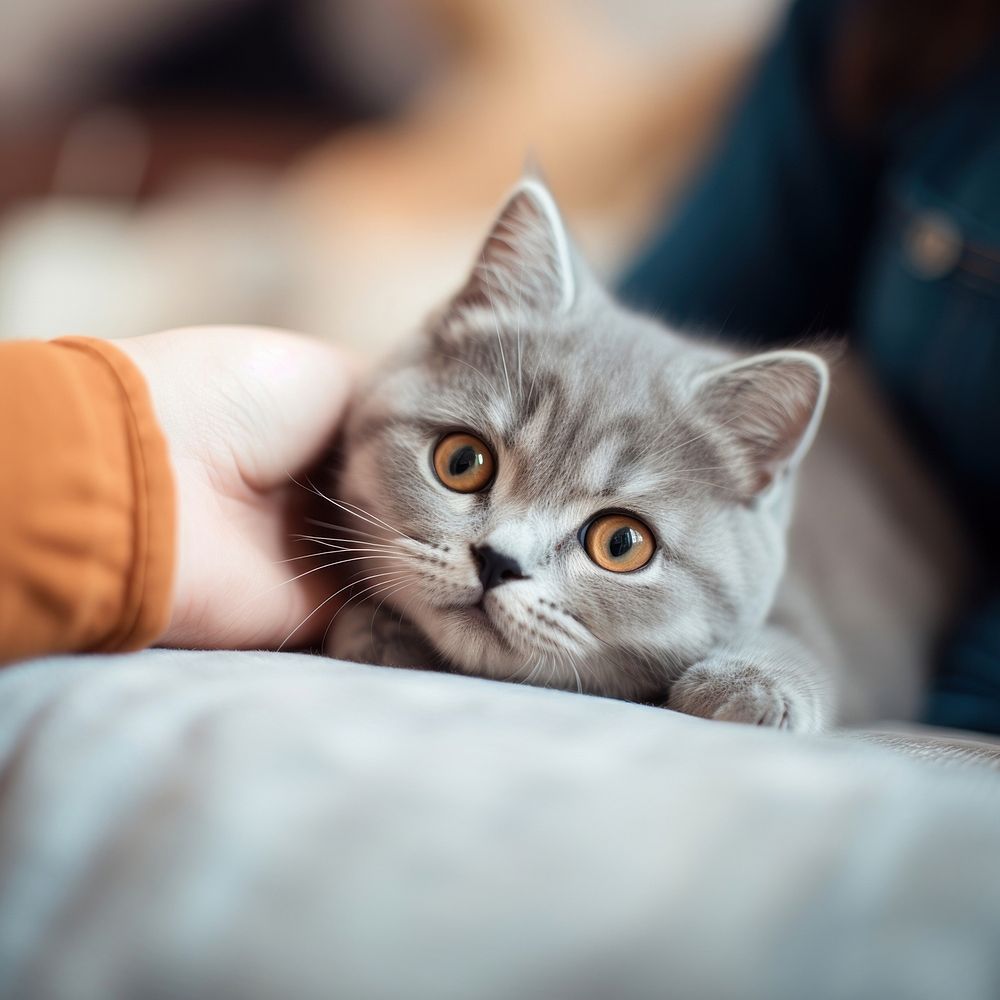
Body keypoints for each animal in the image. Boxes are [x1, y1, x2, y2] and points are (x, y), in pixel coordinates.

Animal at [324, 178, 964, 736]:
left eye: (622, 543)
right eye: (462, 462)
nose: (497, 561)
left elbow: (811, 641)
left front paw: (753, 684)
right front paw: (376, 631)